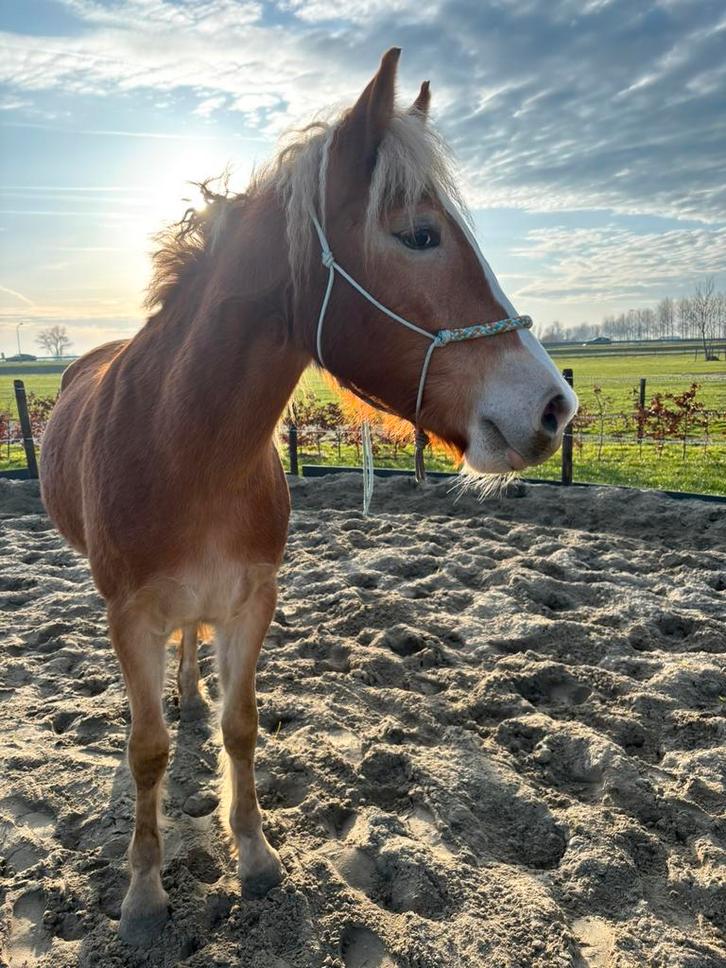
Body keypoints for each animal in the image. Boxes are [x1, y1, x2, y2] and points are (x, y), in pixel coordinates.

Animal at [39, 48, 577, 943]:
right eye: (419, 234)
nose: (554, 408)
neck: (182, 449)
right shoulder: (130, 615)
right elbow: (145, 750)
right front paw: (144, 893)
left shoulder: (253, 597)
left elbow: (241, 724)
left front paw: (255, 854)